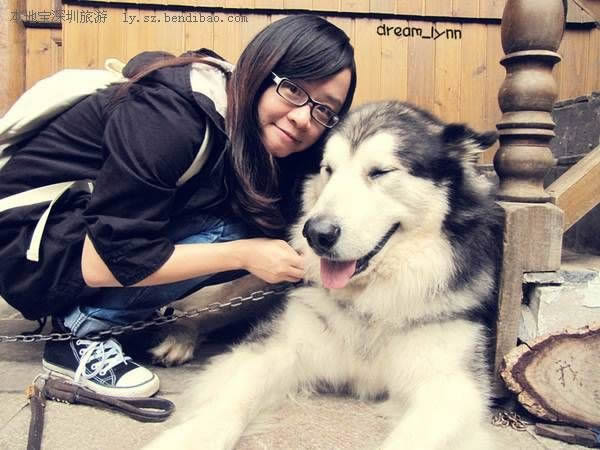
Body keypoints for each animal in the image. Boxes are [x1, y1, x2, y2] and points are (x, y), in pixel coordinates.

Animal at [145, 101, 502, 450]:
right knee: (194, 307)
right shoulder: (280, 347)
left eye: (380, 172)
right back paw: (177, 338)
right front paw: (189, 437)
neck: (368, 301)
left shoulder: (450, 385)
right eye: (328, 170)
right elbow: (232, 397)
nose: (316, 234)